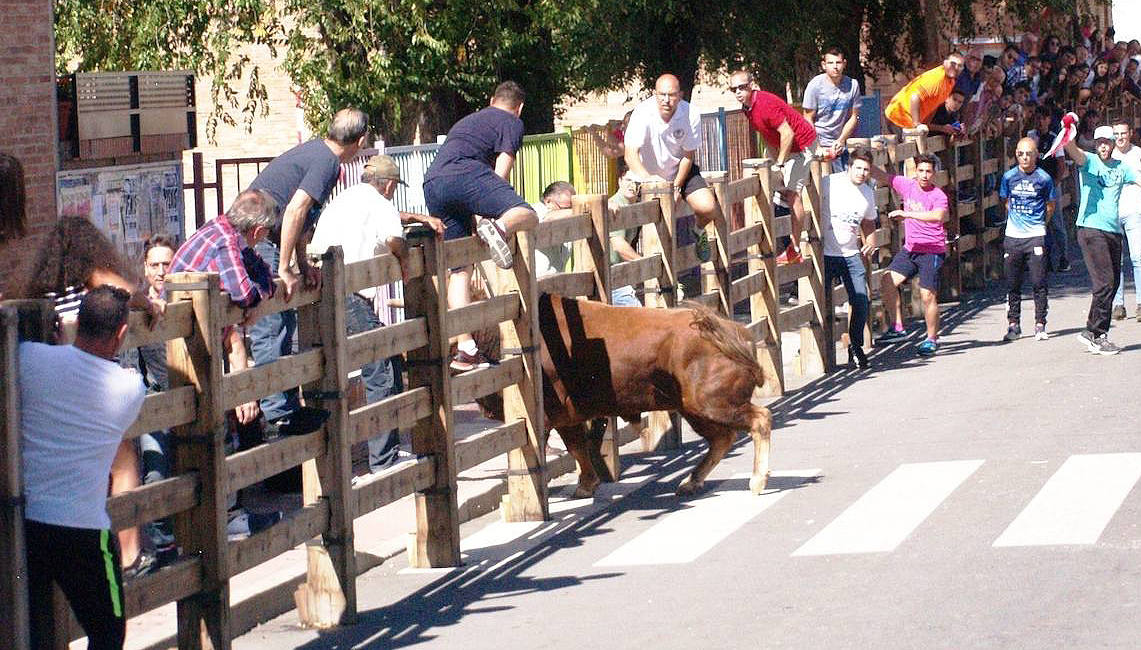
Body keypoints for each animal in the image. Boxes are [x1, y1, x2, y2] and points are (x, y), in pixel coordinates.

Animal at [476, 291, 771, 494]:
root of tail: (732, 331)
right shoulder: (567, 417)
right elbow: (577, 446)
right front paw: (586, 484)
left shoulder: (552, 415)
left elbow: (572, 446)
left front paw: (584, 485)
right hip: (694, 408)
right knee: (722, 438)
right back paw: (691, 481)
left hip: (713, 404)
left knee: (759, 419)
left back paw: (757, 481)